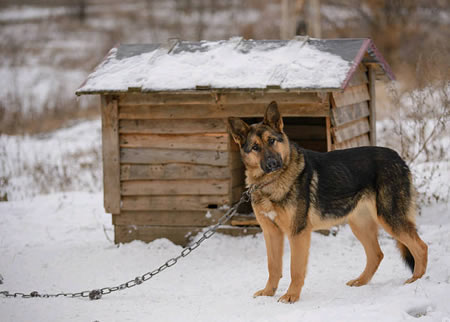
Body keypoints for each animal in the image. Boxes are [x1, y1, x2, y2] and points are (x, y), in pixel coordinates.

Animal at [229, 102, 428, 304]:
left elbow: (295, 269)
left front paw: (291, 296)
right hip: (360, 224)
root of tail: (398, 157)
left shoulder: (297, 233)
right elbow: (273, 266)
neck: (271, 182)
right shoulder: (271, 234)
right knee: (377, 254)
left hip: (389, 218)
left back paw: (415, 281)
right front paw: (268, 292)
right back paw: (361, 281)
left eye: (271, 141)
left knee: (421, 247)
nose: (272, 164)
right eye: (255, 147)